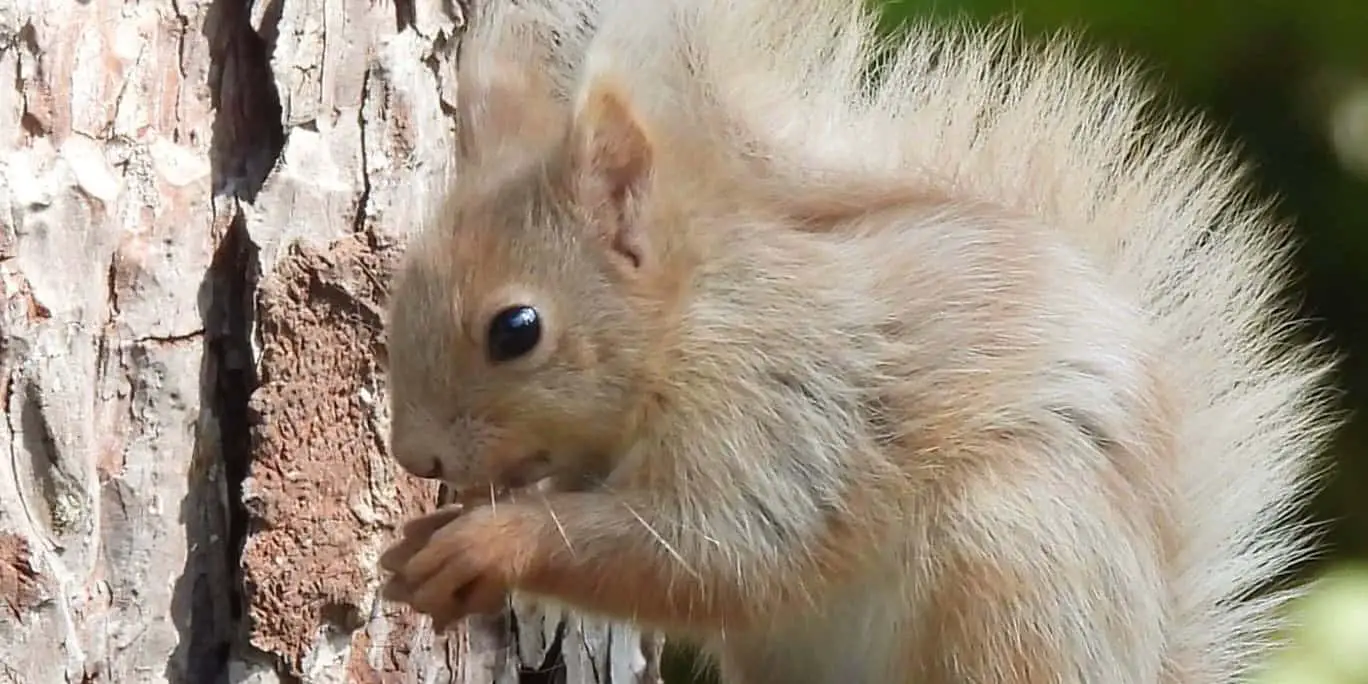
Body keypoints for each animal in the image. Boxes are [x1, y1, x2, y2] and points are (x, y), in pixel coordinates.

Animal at [372, 0, 1335, 681]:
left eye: (517, 330)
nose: (415, 458)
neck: (687, 325)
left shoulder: (782, 421)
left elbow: (715, 553)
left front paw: (492, 542)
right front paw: (426, 547)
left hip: (1015, 553)